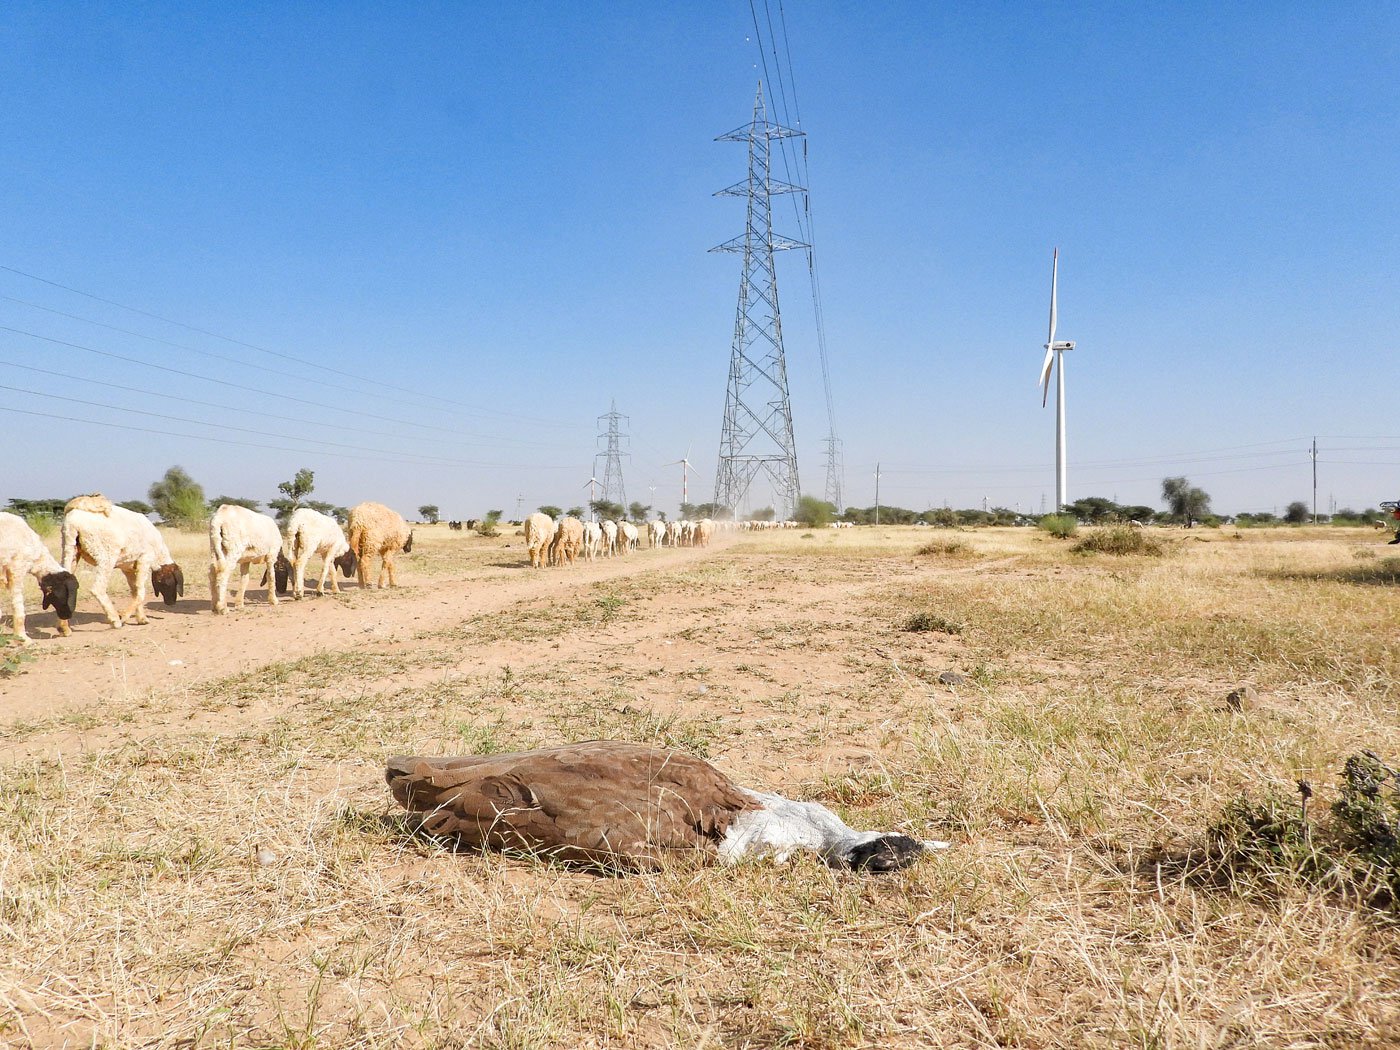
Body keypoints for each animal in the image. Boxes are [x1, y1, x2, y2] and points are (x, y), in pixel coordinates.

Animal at [61, 495, 183, 632]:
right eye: (168, 583)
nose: (171, 603)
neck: (159, 552)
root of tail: (74, 518)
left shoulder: (128, 568)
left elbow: (135, 591)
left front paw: (142, 619)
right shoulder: (145, 559)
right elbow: (140, 592)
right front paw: (124, 616)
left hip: (69, 549)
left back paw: (64, 628)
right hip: (106, 555)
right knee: (98, 588)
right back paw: (115, 620)